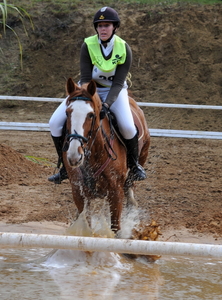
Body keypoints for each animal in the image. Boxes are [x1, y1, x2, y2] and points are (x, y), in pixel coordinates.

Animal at [62, 78, 150, 232]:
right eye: (67, 113)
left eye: (91, 115)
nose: (74, 156)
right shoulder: (78, 192)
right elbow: (85, 224)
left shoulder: (115, 193)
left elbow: (115, 228)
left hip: (141, 157)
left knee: (130, 190)